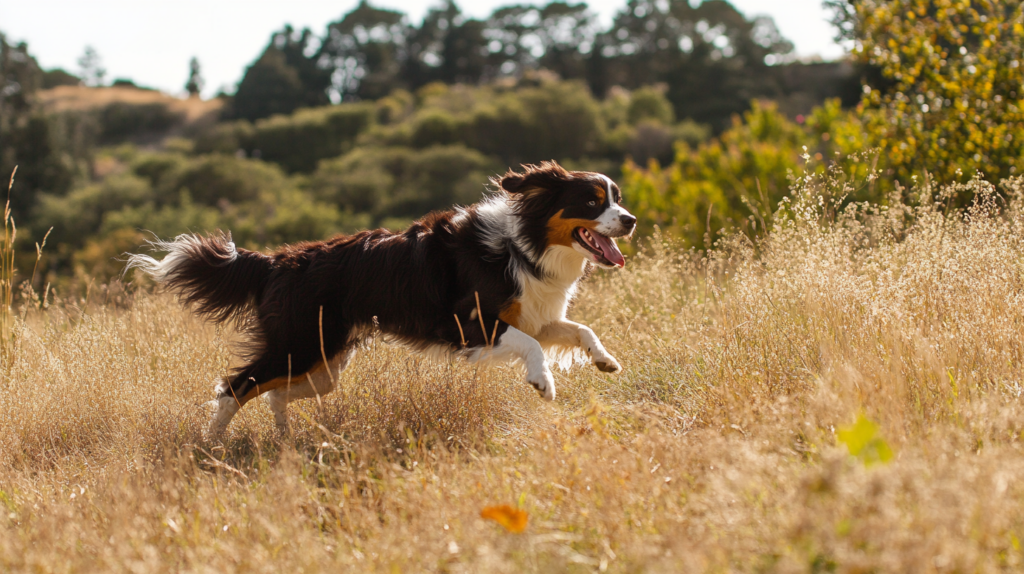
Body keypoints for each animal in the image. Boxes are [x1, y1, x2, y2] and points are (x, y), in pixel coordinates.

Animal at [124, 158, 634, 435]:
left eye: (618, 198)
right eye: (592, 201)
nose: (629, 220)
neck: (522, 244)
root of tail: (275, 261)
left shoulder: (534, 314)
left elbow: (579, 329)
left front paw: (606, 360)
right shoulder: (470, 324)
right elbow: (531, 348)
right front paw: (542, 382)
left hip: (322, 363)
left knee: (274, 394)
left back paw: (283, 440)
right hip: (301, 344)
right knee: (234, 387)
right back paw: (211, 444)